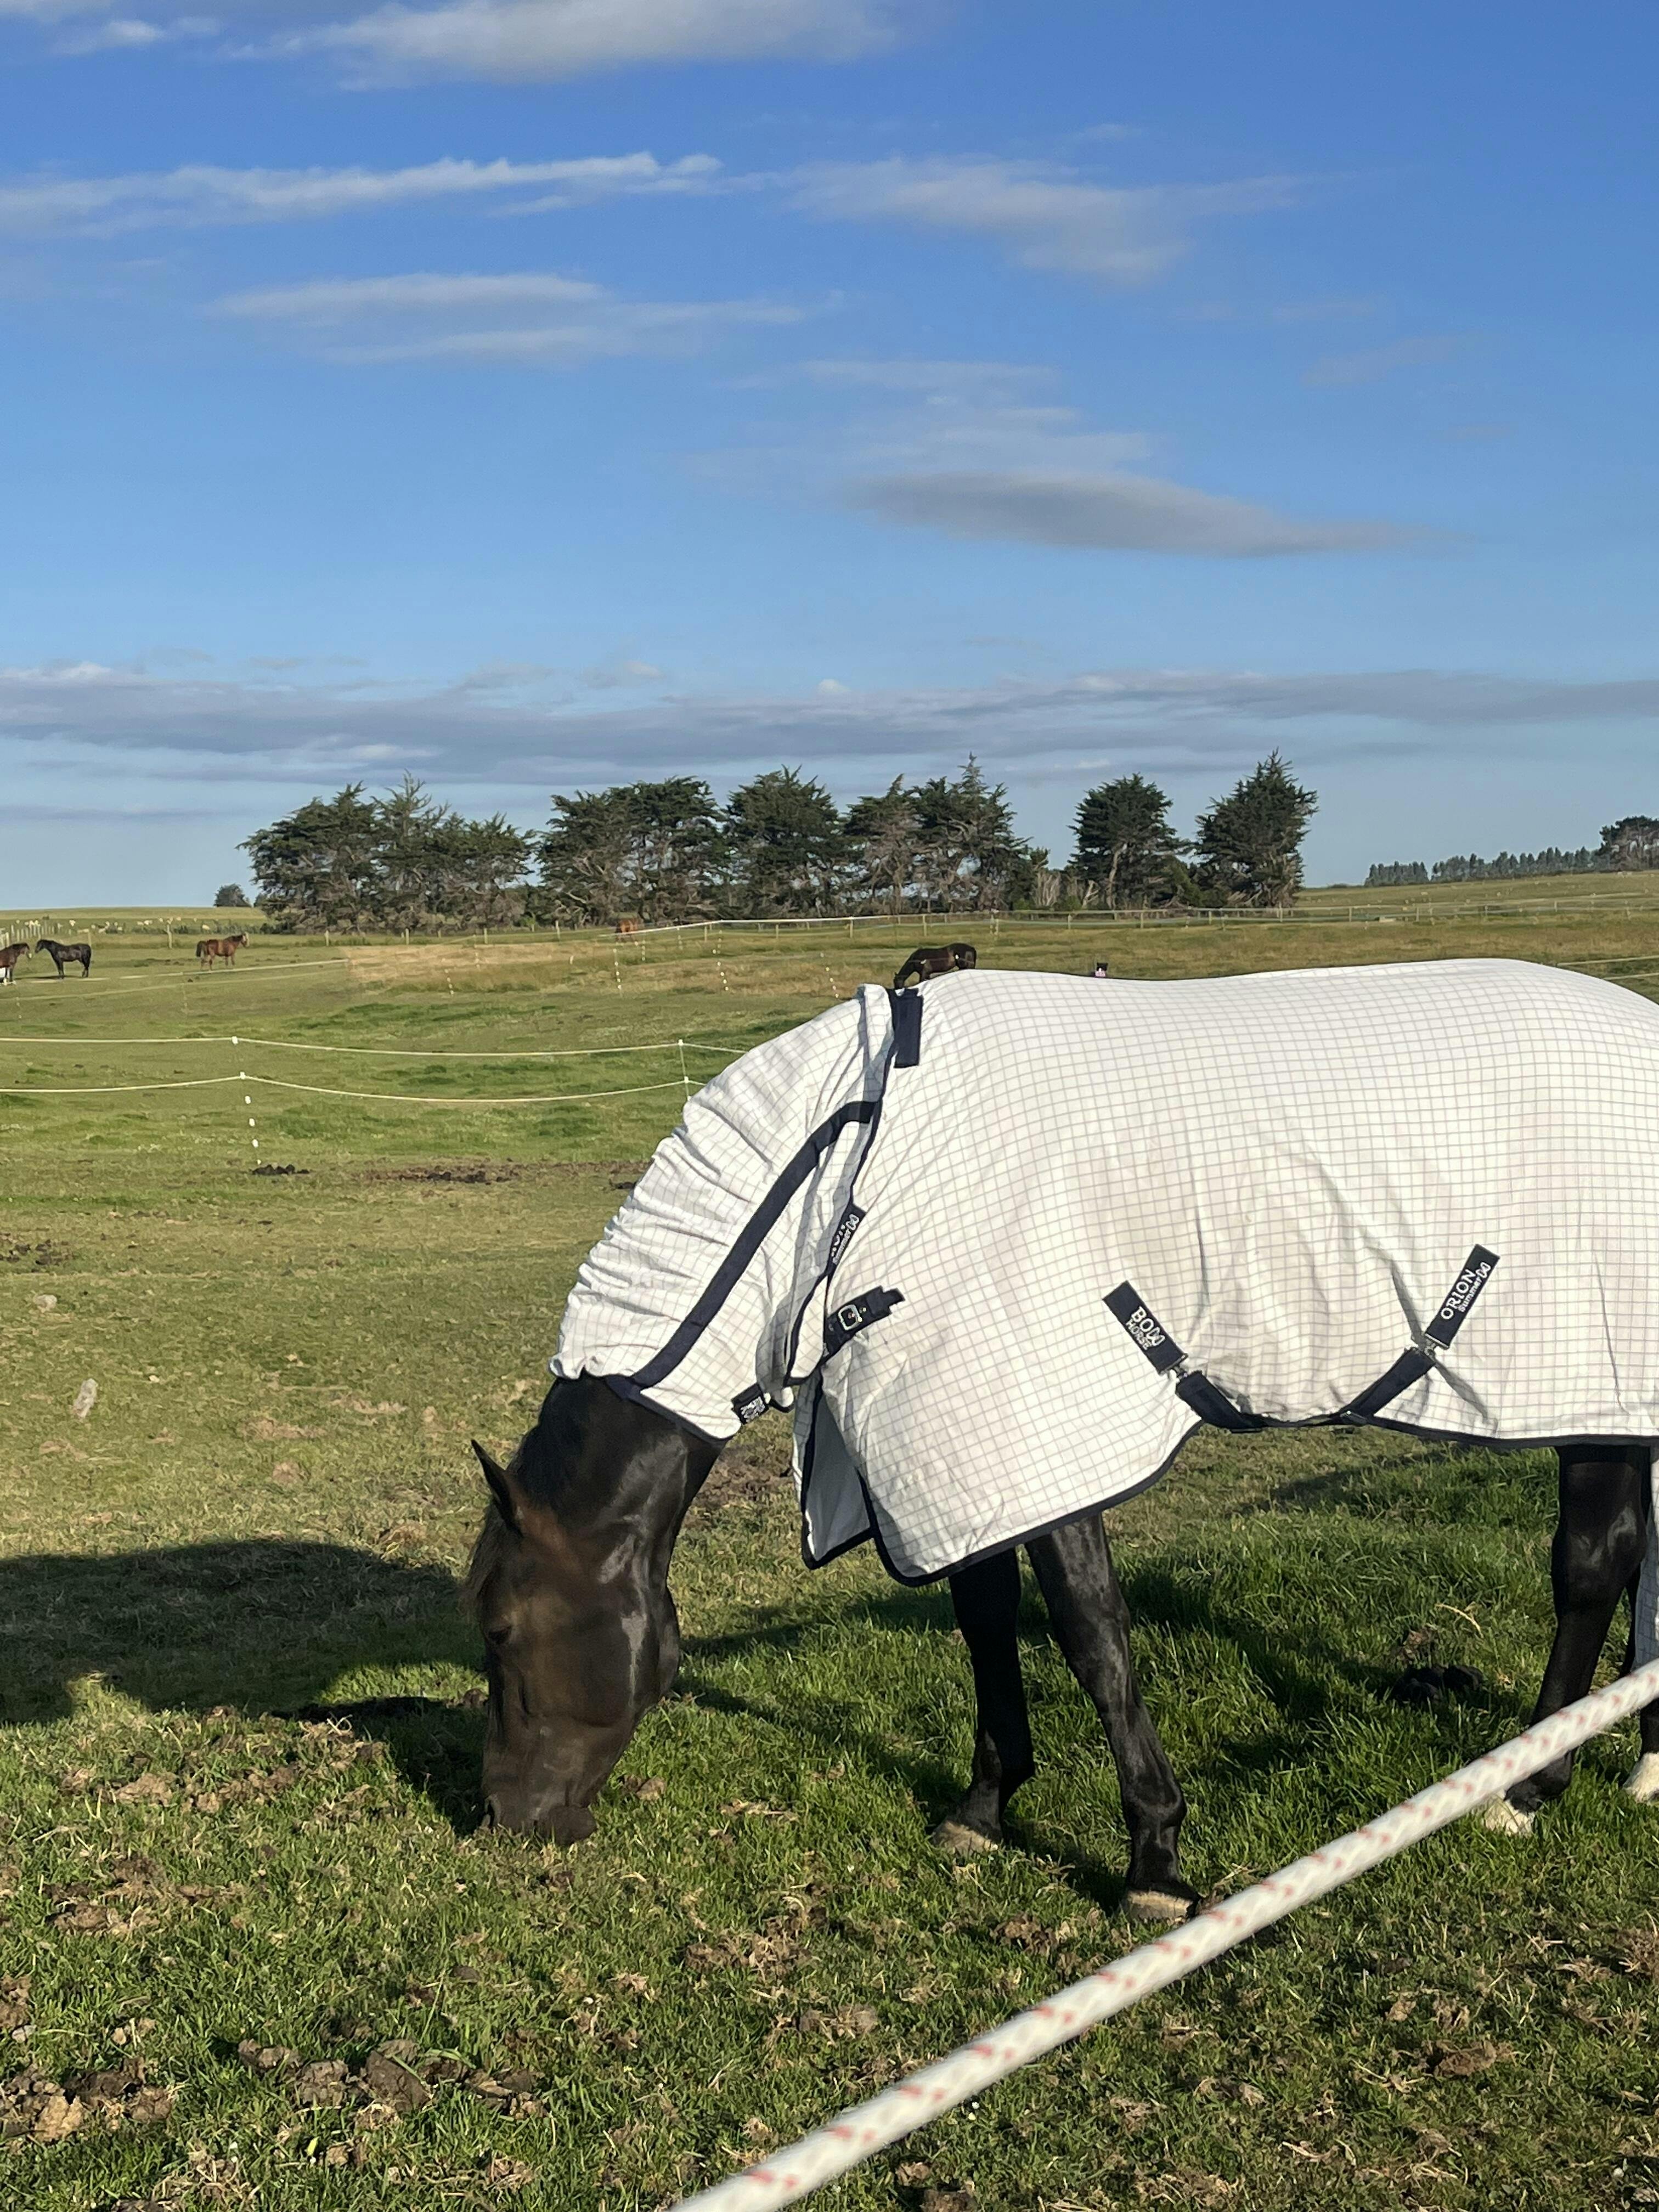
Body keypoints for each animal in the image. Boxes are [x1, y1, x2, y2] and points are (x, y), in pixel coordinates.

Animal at [465, 962, 1659, 1918]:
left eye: (503, 1631)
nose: (507, 1818)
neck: (842, 1170)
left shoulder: (1030, 1422)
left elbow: (1091, 1638)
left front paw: (1153, 1861)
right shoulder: (948, 1438)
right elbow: (986, 1621)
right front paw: (984, 1808)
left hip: (1591, 1381)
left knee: (1592, 1567)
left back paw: (1526, 1789)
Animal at [891, 940, 977, 989]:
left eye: (896, 982)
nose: (896, 990)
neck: (916, 959)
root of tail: (971, 948)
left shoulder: (923, 974)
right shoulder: (927, 974)